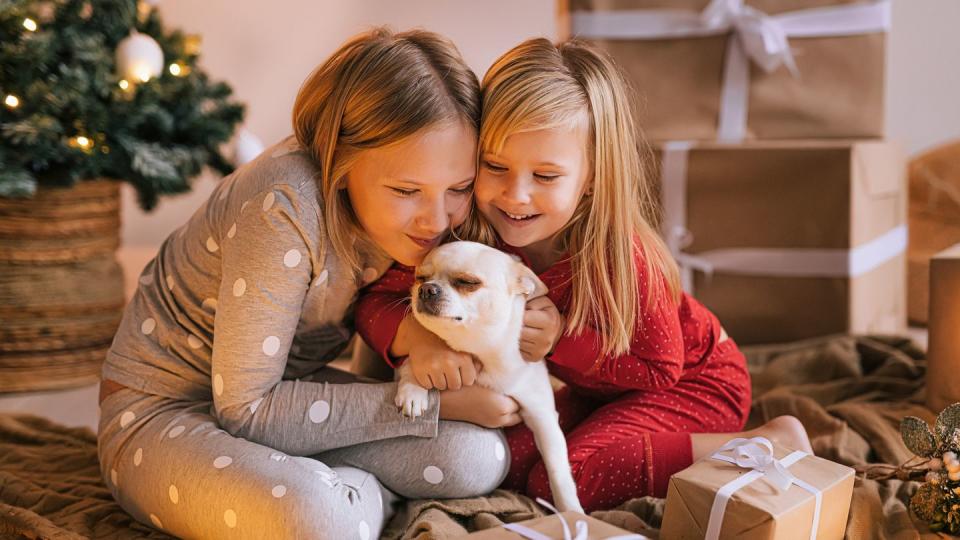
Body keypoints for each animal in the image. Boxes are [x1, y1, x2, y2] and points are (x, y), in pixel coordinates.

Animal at [392, 242, 584, 516]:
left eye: (467, 282)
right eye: (420, 278)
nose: (427, 289)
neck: (479, 349)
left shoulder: (542, 415)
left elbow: (558, 469)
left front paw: (571, 511)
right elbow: (411, 365)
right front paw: (413, 392)